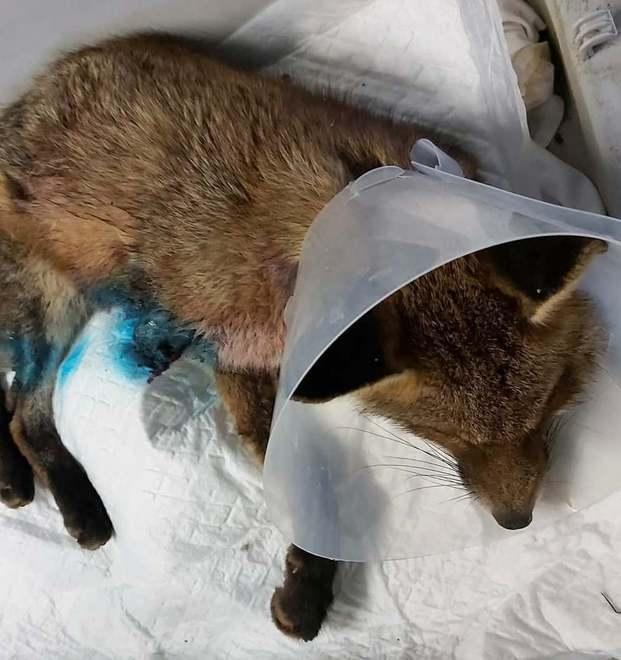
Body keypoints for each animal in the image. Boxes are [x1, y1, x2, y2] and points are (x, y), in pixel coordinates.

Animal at [0, 34, 607, 641]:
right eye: (444, 433)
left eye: (545, 408)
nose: (517, 519)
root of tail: (28, 94)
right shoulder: (242, 358)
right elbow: (306, 489)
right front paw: (307, 588)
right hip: (51, 300)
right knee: (22, 414)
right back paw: (66, 500)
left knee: (14, 408)